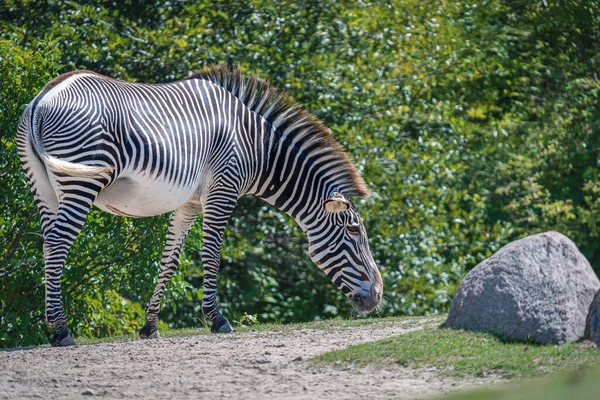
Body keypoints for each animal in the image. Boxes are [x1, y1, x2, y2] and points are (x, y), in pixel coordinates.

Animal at [18, 64, 384, 346]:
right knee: (58, 243)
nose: (378, 296)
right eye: (354, 231)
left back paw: (54, 325)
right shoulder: (223, 190)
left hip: (44, 187)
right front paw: (217, 319)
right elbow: (211, 254)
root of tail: (42, 97)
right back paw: (61, 330)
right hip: (81, 177)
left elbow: (170, 260)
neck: (256, 146)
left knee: (47, 245)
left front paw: (150, 326)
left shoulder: (190, 203)